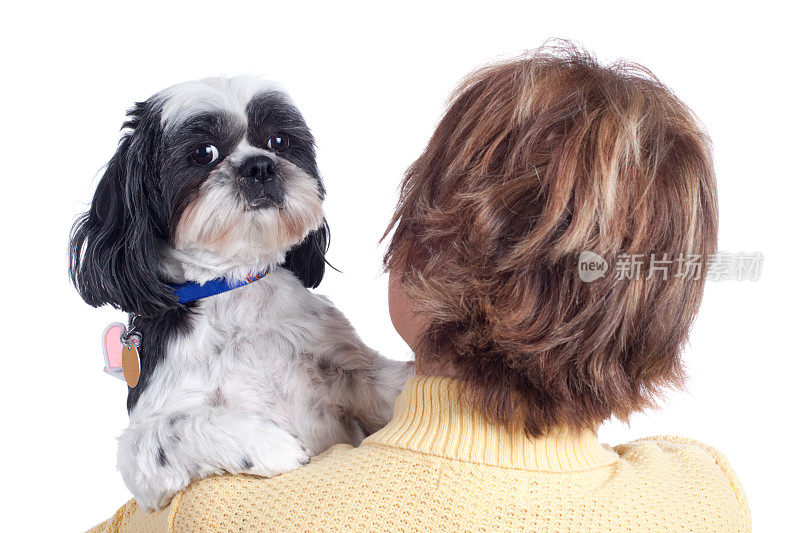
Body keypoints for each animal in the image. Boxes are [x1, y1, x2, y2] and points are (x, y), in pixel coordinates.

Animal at [69, 76, 412, 512]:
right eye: (204, 152)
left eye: (279, 141)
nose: (260, 165)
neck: (235, 295)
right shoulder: (143, 451)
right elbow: (173, 427)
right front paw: (272, 445)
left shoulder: (349, 369)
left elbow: (392, 384)